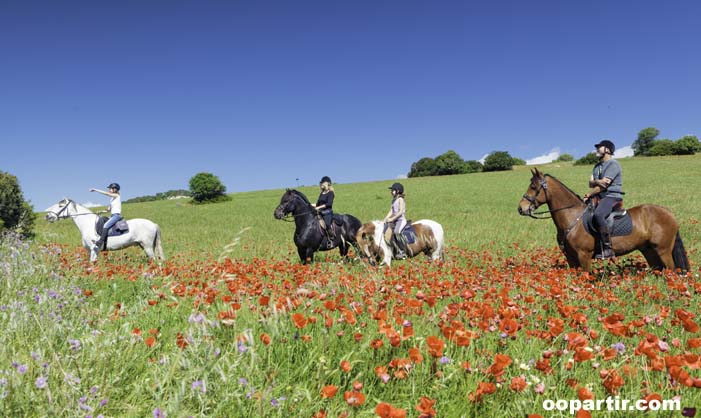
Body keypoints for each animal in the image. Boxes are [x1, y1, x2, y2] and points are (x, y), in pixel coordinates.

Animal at [516, 168, 688, 272]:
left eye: (533, 187)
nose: (521, 208)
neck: (573, 218)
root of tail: (668, 213)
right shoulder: (571, 257)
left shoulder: (584, 255)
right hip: (649, 250)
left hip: (663, 250)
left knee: (672, 271)